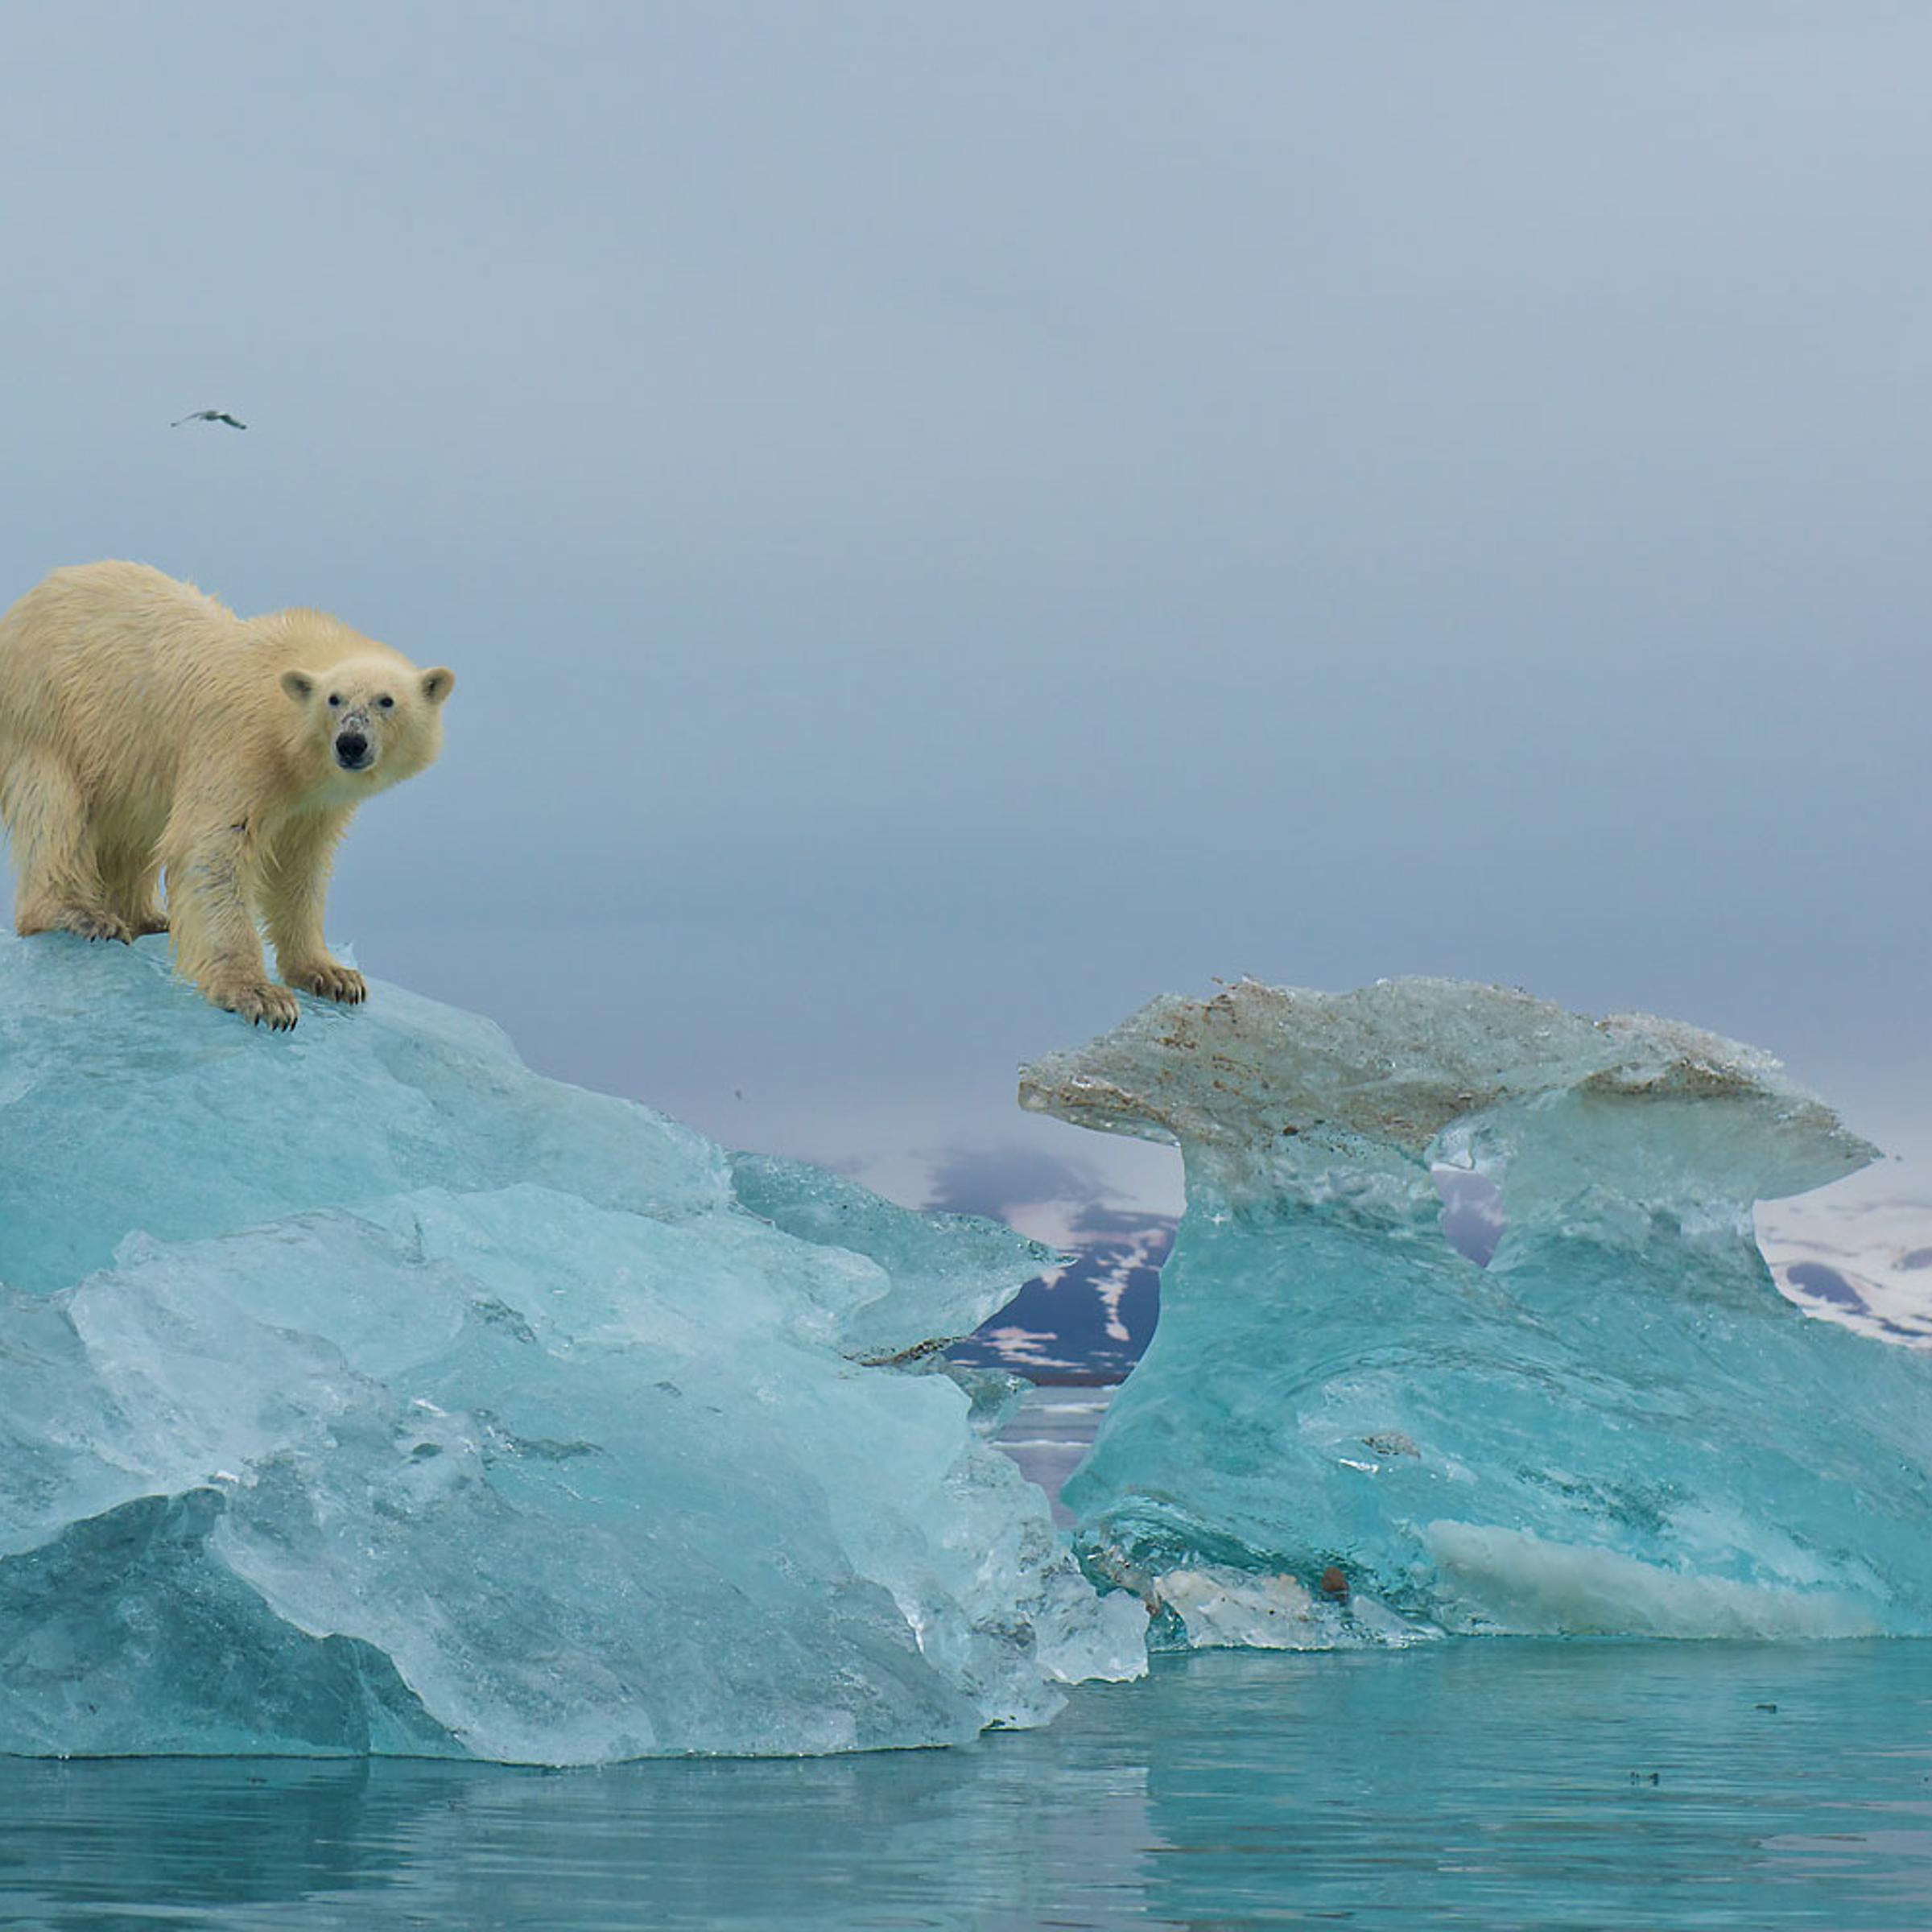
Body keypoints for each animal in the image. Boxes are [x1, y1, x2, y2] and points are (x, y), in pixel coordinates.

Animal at [0, 561, 454, 1028]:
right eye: (334, 699)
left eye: (387, 701)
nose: (351, 743)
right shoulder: (240, 744)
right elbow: (212, 849)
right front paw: (261, 996)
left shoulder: (315, 803)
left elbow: (298, 869)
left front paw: (333, 976)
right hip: (48, 709)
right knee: (53, 806)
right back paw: (81, 914)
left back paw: (147, 917)